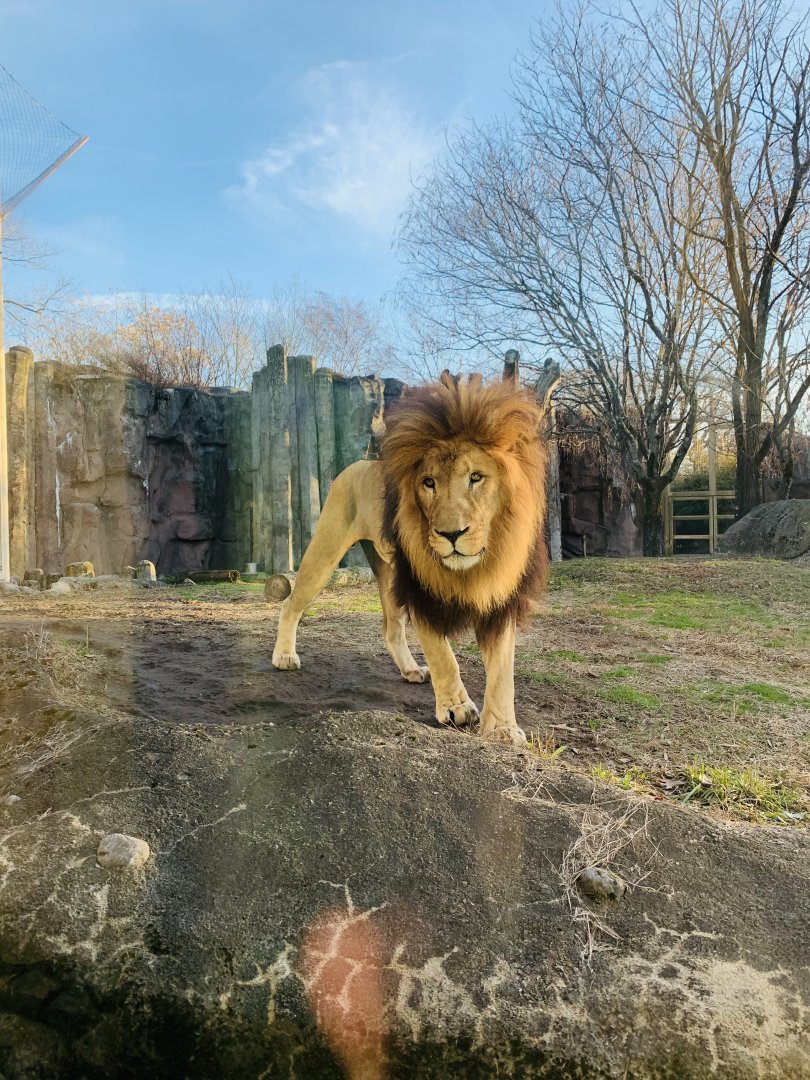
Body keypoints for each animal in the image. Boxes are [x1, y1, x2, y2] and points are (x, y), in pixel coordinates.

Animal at [271, 371, 548, 745]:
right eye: (428, 482)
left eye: (476, 477)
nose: (451, 534)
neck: (478, 564)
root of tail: (359, 462)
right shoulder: (420, 590)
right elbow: (444, 656)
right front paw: (456, 708)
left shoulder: (502, 600)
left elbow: (503, 672)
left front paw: (503, 728)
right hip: (326, 548)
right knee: (292, 603)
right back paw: (284, 656)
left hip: (389, 572)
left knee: (391, 628)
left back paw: (411, 669)